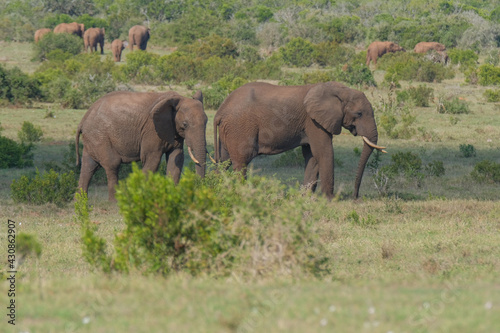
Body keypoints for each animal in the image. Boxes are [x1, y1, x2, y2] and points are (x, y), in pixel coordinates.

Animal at [74, 89, 207, 201]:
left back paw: (80, 203)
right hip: (100, 136)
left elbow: (176, 159)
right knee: (112, 164)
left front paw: (172, 198)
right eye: (185, 124)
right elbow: (152, 160)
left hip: (93, 138)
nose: (199, 189)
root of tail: (84, 118)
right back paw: (114, 203)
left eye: (206, 122)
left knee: (88, 167)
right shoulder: (151, 130)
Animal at [212, 81, 386, 198]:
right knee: (241, 162)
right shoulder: (314, 122)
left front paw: (306, 197)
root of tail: (220, 111)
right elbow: (324, 152)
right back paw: (241, 193)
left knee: (223, 162)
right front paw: (329, 200)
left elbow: (312, 156)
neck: (339, 90)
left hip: (229, 131)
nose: (355, 197)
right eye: (359, 114)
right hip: (239, 128)